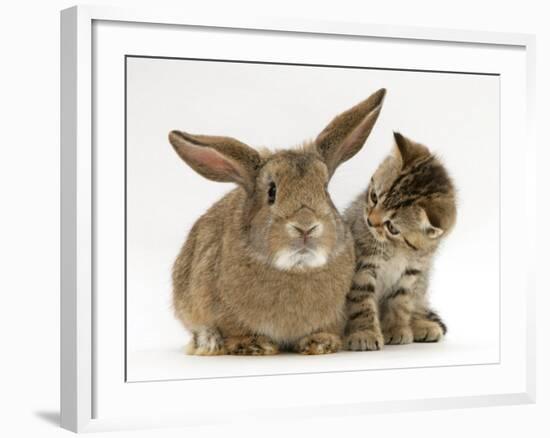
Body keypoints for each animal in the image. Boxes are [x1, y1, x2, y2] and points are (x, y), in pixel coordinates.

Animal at [170, 89, 386, 356]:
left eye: (325, 189)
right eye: (272, 192)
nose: (305, 227)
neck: (296, 268)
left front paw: (320, 343)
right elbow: (234, 332)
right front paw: (254, 345)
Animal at [344, 132, 458, 350]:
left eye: (392, 227)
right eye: (374, 197)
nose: (370, 221)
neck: (398, 249)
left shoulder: (413, 272)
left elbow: (400, 303)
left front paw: (396, 329)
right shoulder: (363, 265)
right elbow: (362, 301)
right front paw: (365, 333)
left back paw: (422, 324)